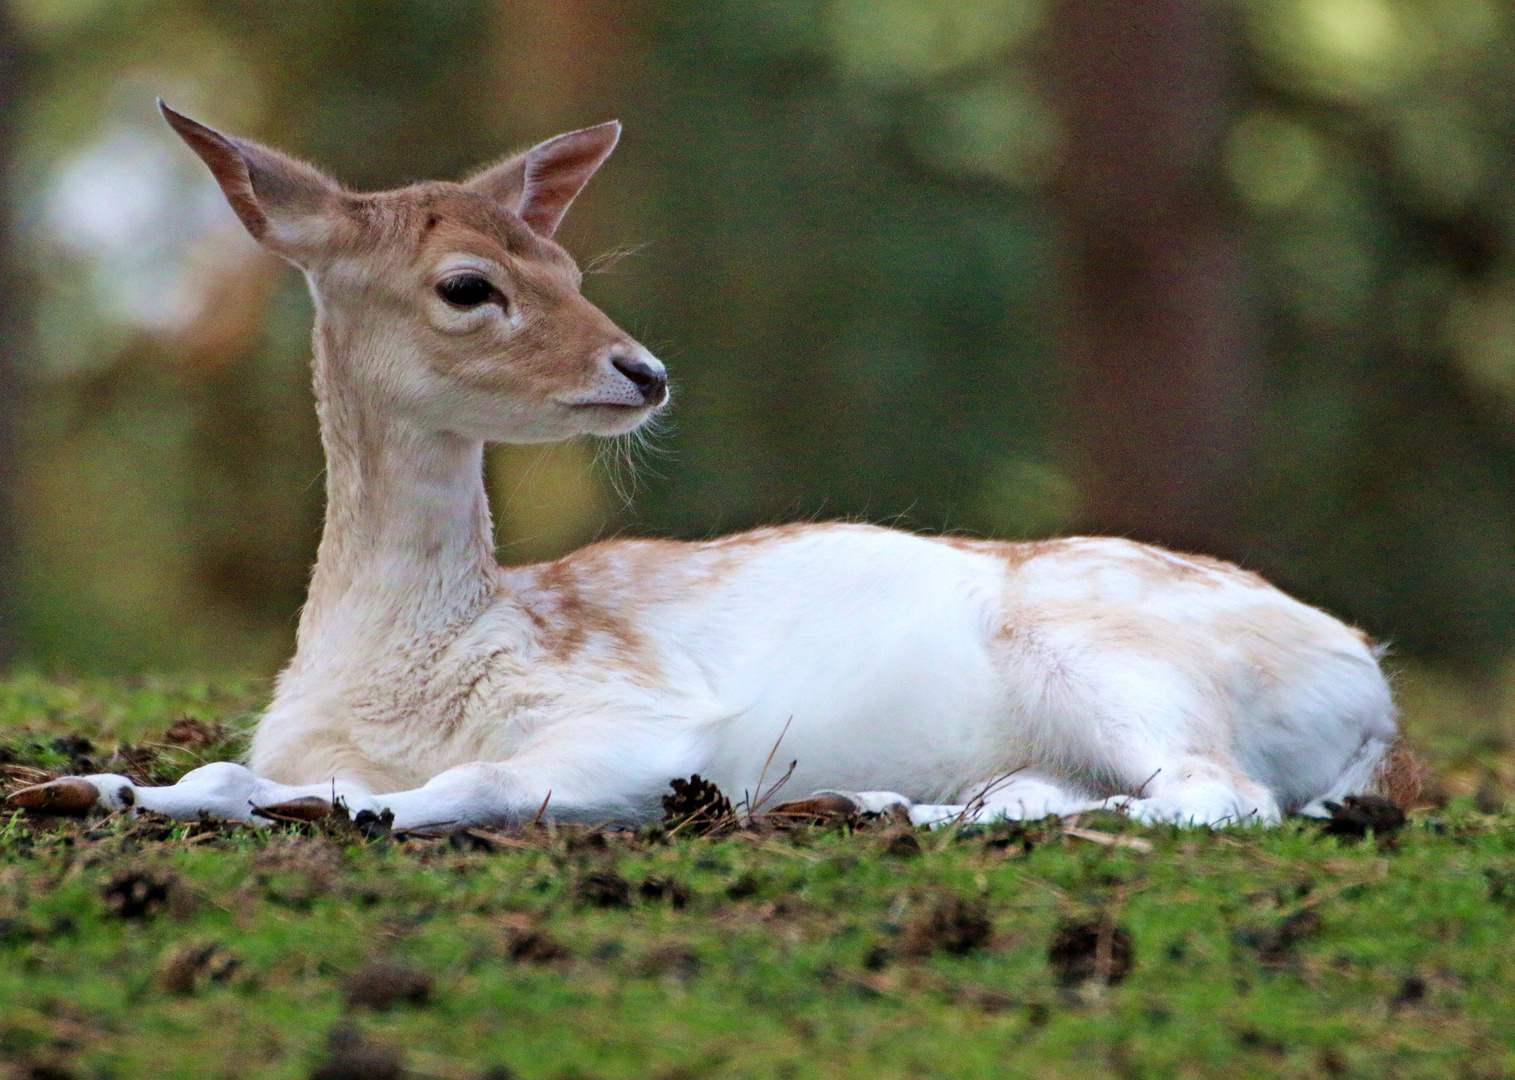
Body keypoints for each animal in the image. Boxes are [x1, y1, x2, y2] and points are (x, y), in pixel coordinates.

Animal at [11, 103, 1405, 824]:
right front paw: (77, 784)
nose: (644, 370)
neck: (404, 667)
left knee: (1216, 794)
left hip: (1112, 655)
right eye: (470, 284)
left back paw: (865, 807)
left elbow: (466, 783)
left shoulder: (636, 721)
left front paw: (332, 808)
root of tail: (1376, 692)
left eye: (568, 263)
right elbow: (219, 768)